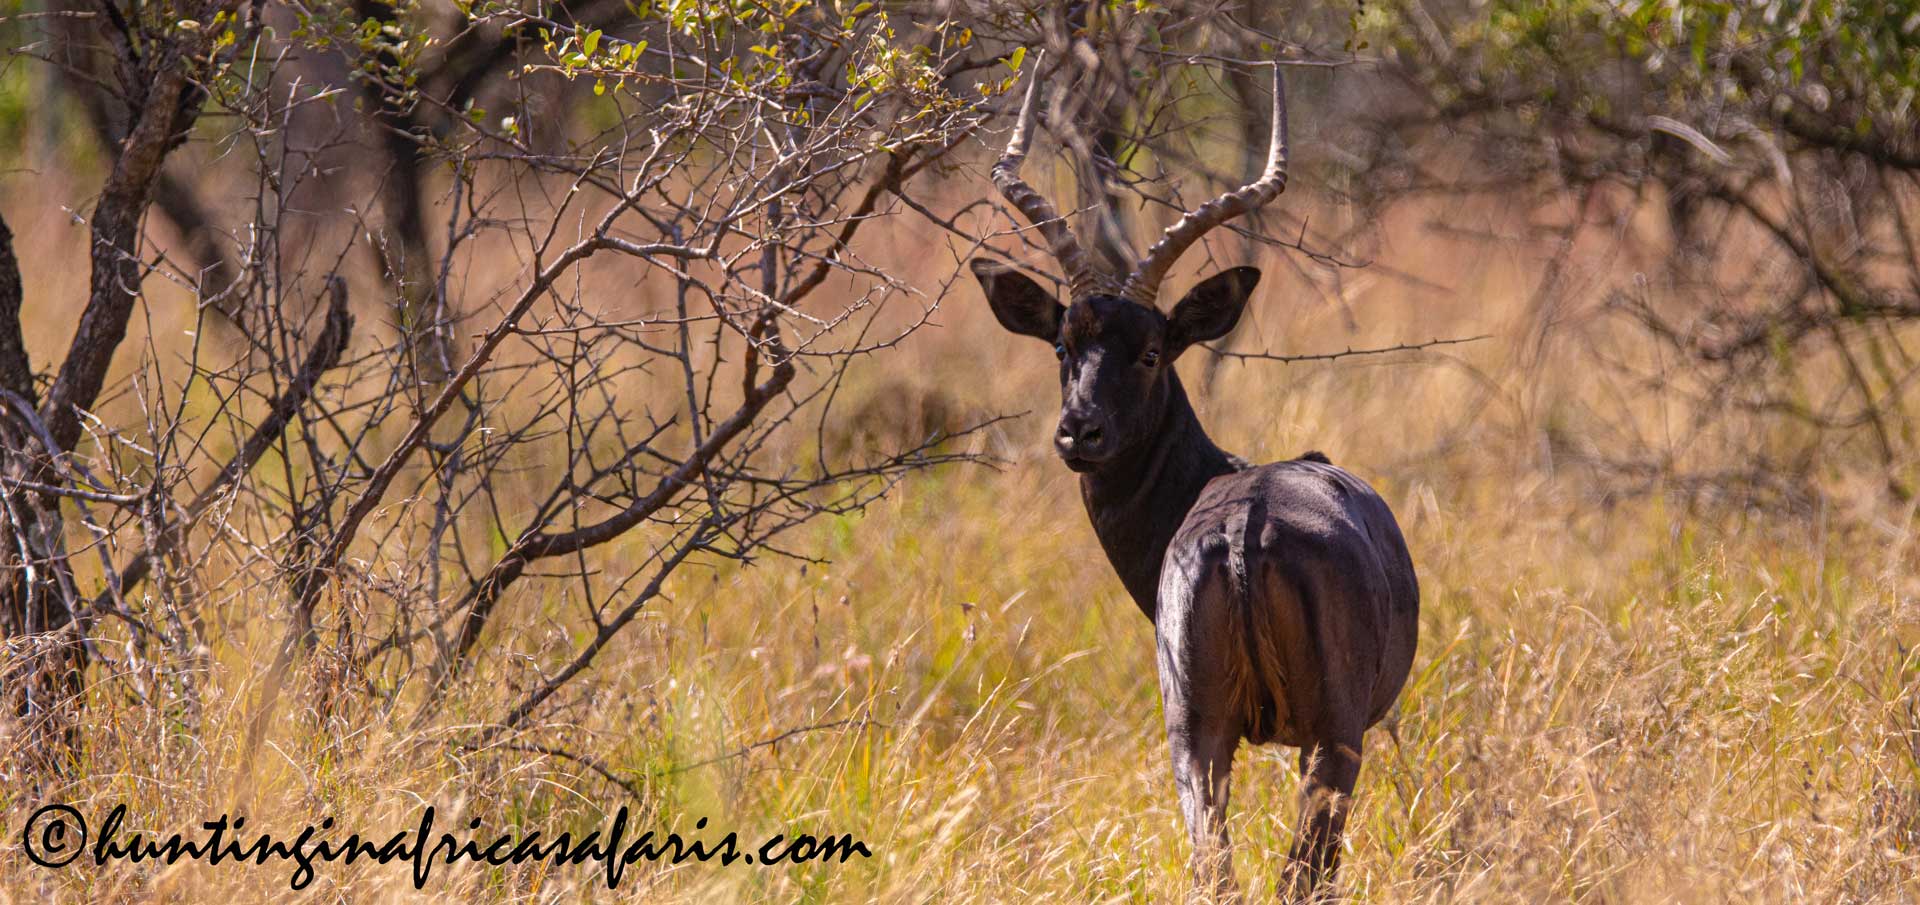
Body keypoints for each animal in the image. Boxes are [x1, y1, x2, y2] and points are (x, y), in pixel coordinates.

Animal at [970, 57, 1420, 900]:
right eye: (1063, 346)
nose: (1079, 431)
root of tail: (1246, 527)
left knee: (1218, 867)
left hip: (1198, 737)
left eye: (1150, 349)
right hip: (1328, 740)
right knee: (1301, 872)